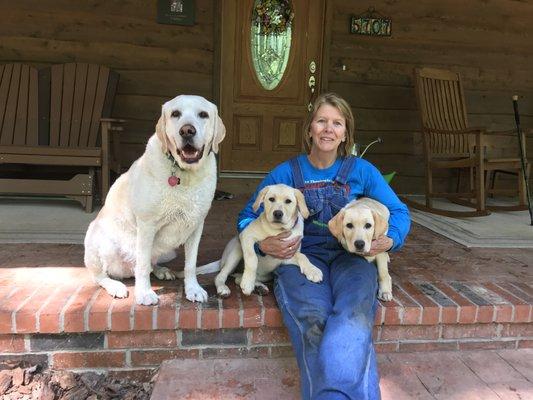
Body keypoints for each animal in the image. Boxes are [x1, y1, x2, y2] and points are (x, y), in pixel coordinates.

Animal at [84, 95, 224, 304]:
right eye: (175, 114)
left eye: (203, 114)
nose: (187, 130)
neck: (184, 176)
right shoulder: (147, 225)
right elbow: (142, 265)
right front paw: (144, 293)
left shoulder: (196, 226)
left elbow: (190, 265)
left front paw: (193, 289)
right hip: (100, 241)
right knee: (101, 275)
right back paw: (115, 285)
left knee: (150, 263)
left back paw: (162, 270)